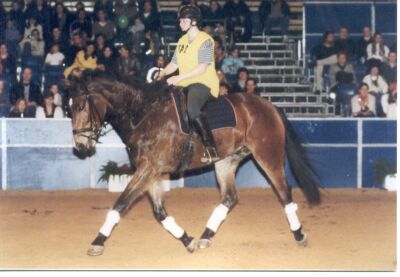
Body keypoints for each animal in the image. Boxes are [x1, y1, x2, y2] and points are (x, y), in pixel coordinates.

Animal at [68, 70, 318, 256]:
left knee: (285, 193)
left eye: (80, 107)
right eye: (68, 109)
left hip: (268, 157)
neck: (144, 115)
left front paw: (97, 242)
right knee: (229, 198)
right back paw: (205, 237)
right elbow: (159, 213)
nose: (80, 147)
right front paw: (187, 240)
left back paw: (299, 235)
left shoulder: (150, 169)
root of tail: (269, 105)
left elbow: (120, 204)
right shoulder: (150, 171)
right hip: (226, 161)